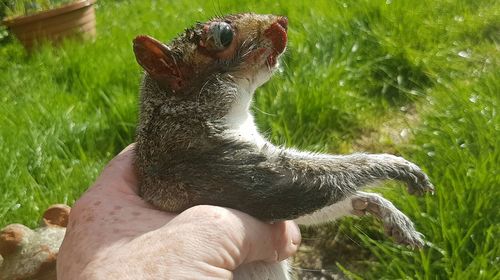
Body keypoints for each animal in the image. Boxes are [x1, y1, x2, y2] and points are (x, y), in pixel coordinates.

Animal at [132, 12, 434, 278]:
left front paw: (377, 206)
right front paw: (395, 165)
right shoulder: (209, 162)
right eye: (223, 35)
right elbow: (298, 184)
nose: (282, 21)